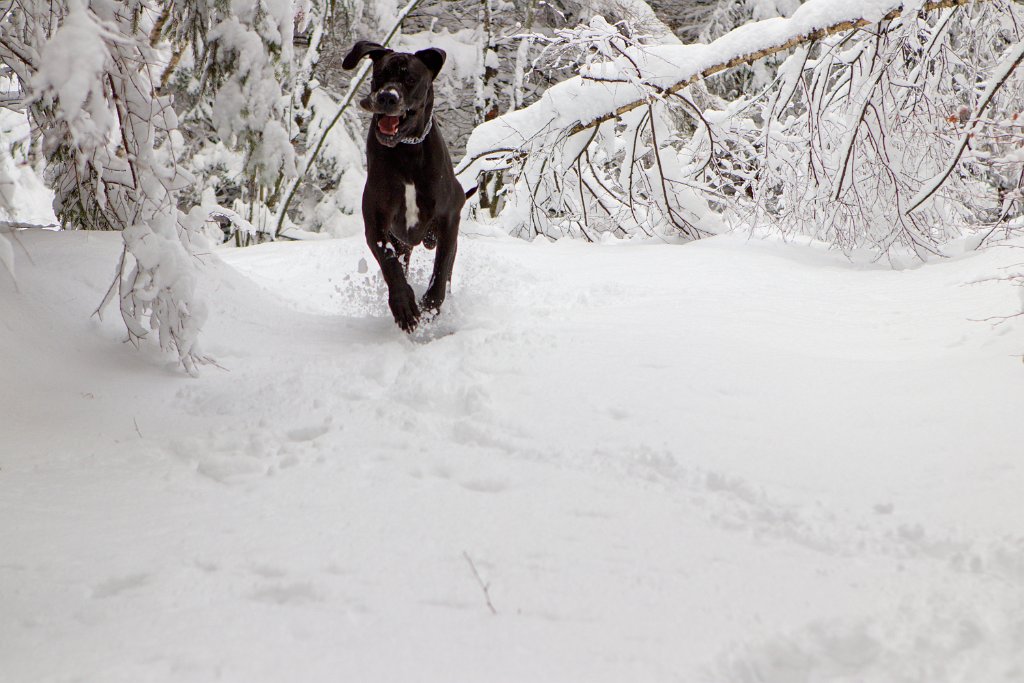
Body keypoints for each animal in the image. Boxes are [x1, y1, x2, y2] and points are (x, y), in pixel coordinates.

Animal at [344, 40, 471, 333]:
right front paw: (404, 306)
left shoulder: (449, 220)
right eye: (380, 74)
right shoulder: (377, 222)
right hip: (403, 242)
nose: (387, 97)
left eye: (411, 79)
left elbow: (441, 270)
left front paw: (430, 306)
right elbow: (390, 264)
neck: (407, 151)